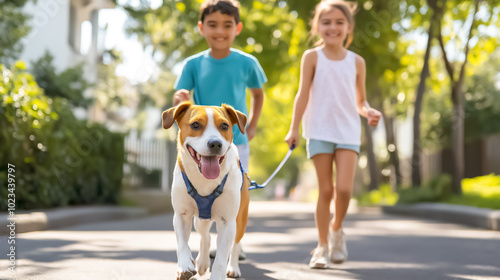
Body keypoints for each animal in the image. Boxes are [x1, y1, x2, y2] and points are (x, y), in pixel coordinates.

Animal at [162, 101, 250, 278]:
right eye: (195, 124)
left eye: (224, 126)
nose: (215, 143)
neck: (204, 179)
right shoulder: (182, 215)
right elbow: (182, 244)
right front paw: (184, 266)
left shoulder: (228, 221)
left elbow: (221, 258)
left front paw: (218, 274)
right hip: (200, 220)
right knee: (206, 237)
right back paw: (202, 263)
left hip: (240, 219)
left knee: (236, 244)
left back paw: (233, 267)